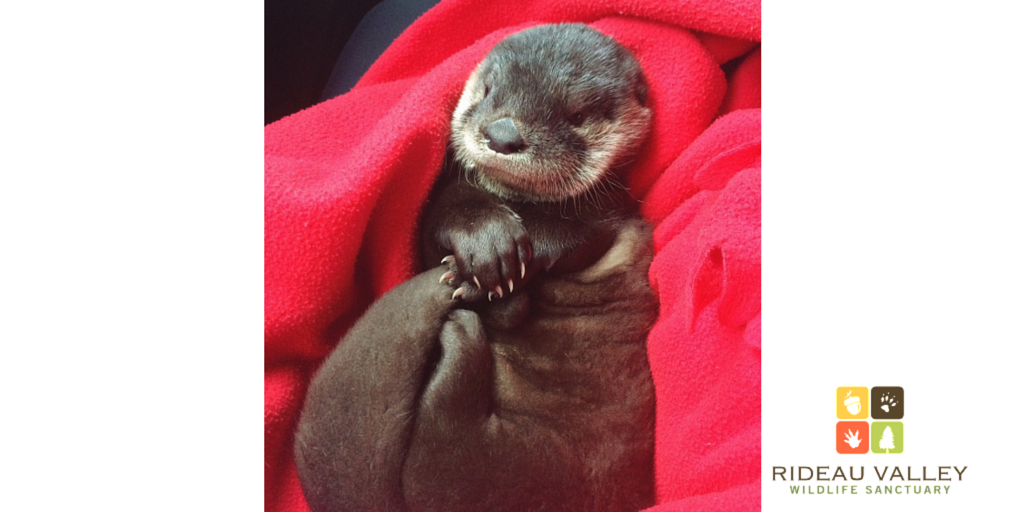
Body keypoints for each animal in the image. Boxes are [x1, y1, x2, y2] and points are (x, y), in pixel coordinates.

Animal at [295, 24, 658, 512]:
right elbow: (454, 215)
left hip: (515, 468)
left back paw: (464, 322)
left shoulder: (608, 213)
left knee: (446, 438)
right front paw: (488, 243)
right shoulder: (434, 213)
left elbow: (566, 234)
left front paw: (499, 265)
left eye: (577, 114)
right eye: (487, 91)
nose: (503, 133)